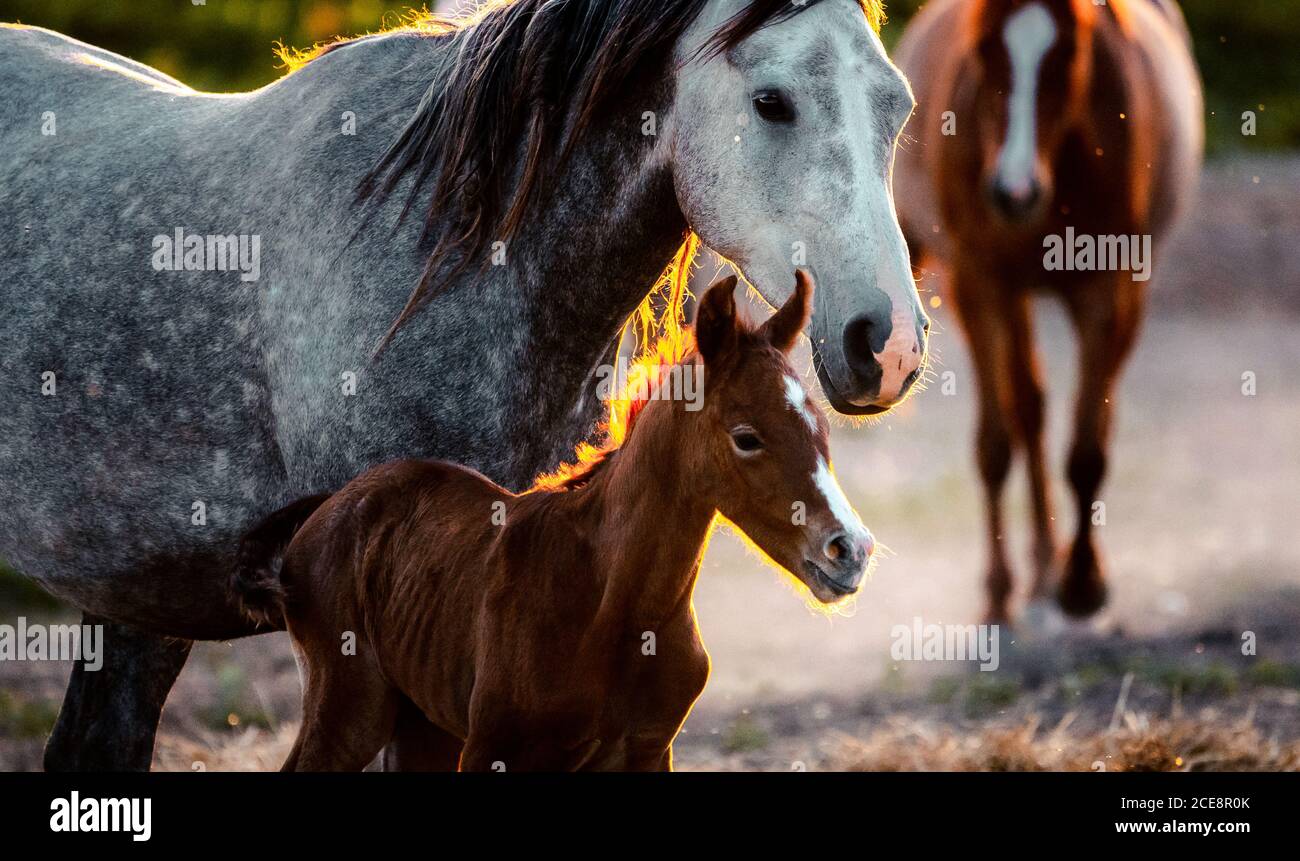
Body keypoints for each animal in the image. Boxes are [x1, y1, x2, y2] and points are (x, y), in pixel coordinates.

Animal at [233, 272, 873, 771]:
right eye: (747, 437)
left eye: (821, 427)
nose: (851, 550)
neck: (613, 609)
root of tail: (331, 504)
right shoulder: (493, 752)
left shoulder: (648, 752)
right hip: (349, 709)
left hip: (422, 723)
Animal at [892, 0, 1202, 622]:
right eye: (985, 50)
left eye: (1069, 53)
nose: (1014, 192)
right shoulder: (982, 284)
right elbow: (995, 442)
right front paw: (998, 591)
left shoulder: (1110, 291)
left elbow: (1088, 447)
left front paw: (1083, 582)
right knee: (1026, 410)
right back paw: (1030, 574)